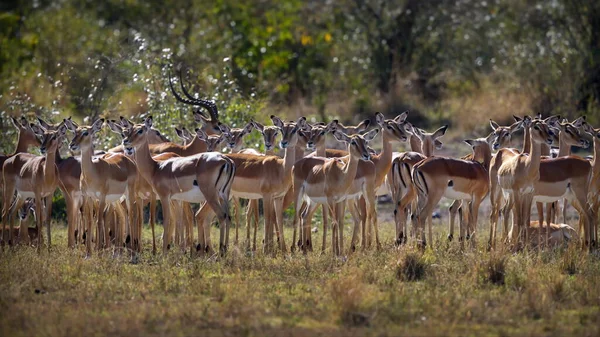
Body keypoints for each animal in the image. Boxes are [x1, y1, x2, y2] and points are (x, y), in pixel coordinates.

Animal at [120, 117, 236, 253]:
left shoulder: (164, 197)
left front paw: (164, 252)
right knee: (227, 217)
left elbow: (167, 221)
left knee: (221, 216)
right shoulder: (177, 199)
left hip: (211, 195)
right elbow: (178, 222)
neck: (156, 168)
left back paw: (220, 251)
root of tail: (226, 160)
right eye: (129, 130)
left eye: (140, 130)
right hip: (224, 195)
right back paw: (225, 250)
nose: (126, 142)